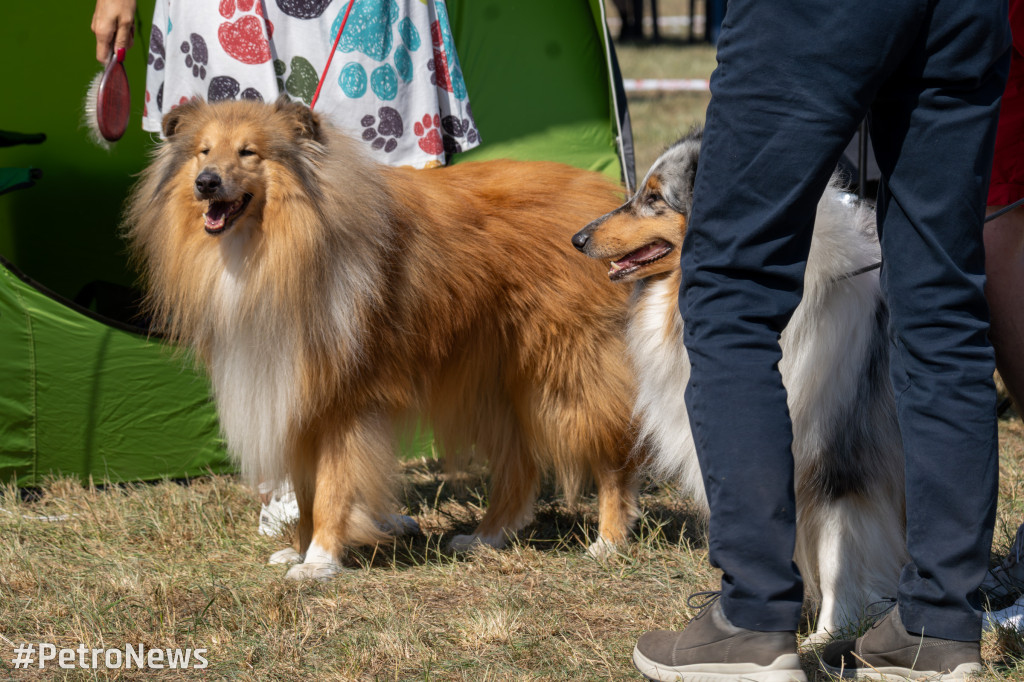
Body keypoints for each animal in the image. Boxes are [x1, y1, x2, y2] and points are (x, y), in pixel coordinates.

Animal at [128, 98, 638, 577]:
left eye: (248, 151)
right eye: (203, 151)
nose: (206, 182)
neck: (281, 244)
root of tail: (604, 202)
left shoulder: (344, 404)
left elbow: (331, 489)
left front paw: (319, 562)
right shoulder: (296, 396)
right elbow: (306, 492)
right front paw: (299, 549)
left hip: (571, 374)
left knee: (613, 458)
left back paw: (608, 542)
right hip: (494, 384)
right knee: (520, 466)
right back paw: (484, 538)